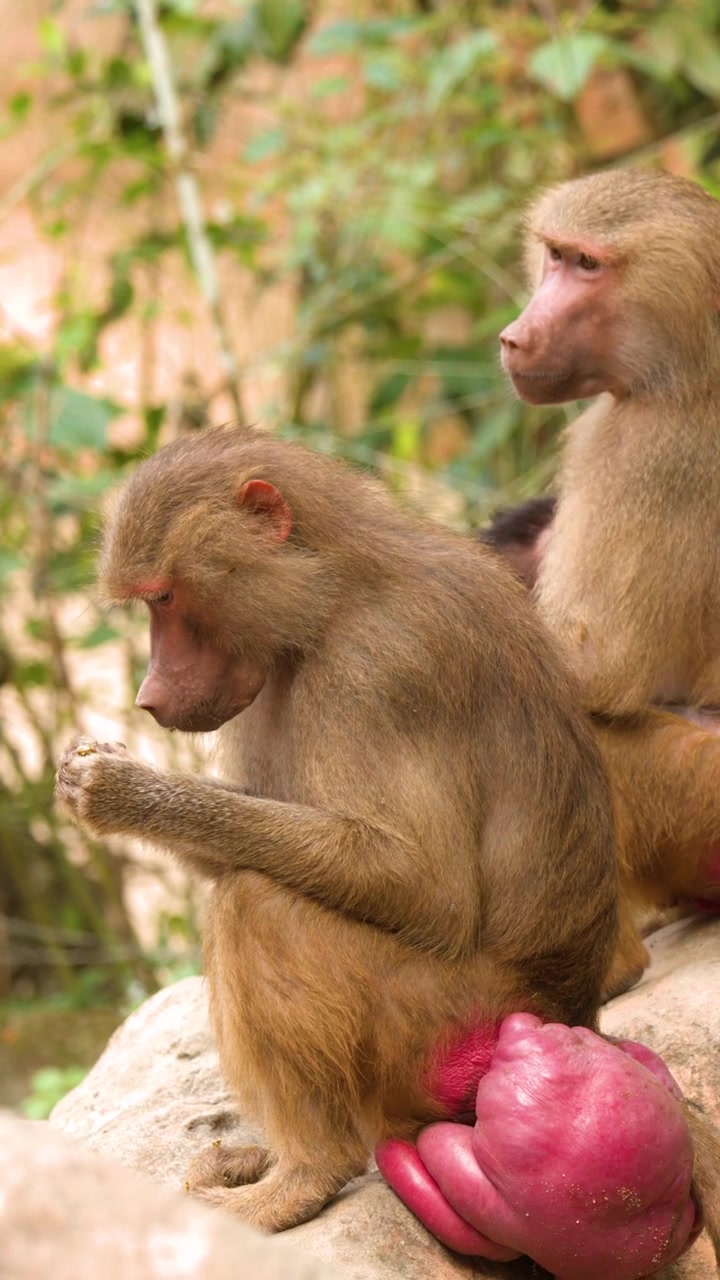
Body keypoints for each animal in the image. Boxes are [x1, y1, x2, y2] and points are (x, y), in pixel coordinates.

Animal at [55, 425, 619, 1238]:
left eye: (164, 598)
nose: (148, 697)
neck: (330, 594)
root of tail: (568, 1018)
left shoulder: (381, 664)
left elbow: (424, 885)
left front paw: (121, 791)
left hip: (439, 1026)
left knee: (255, 903)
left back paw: (300, 1179)